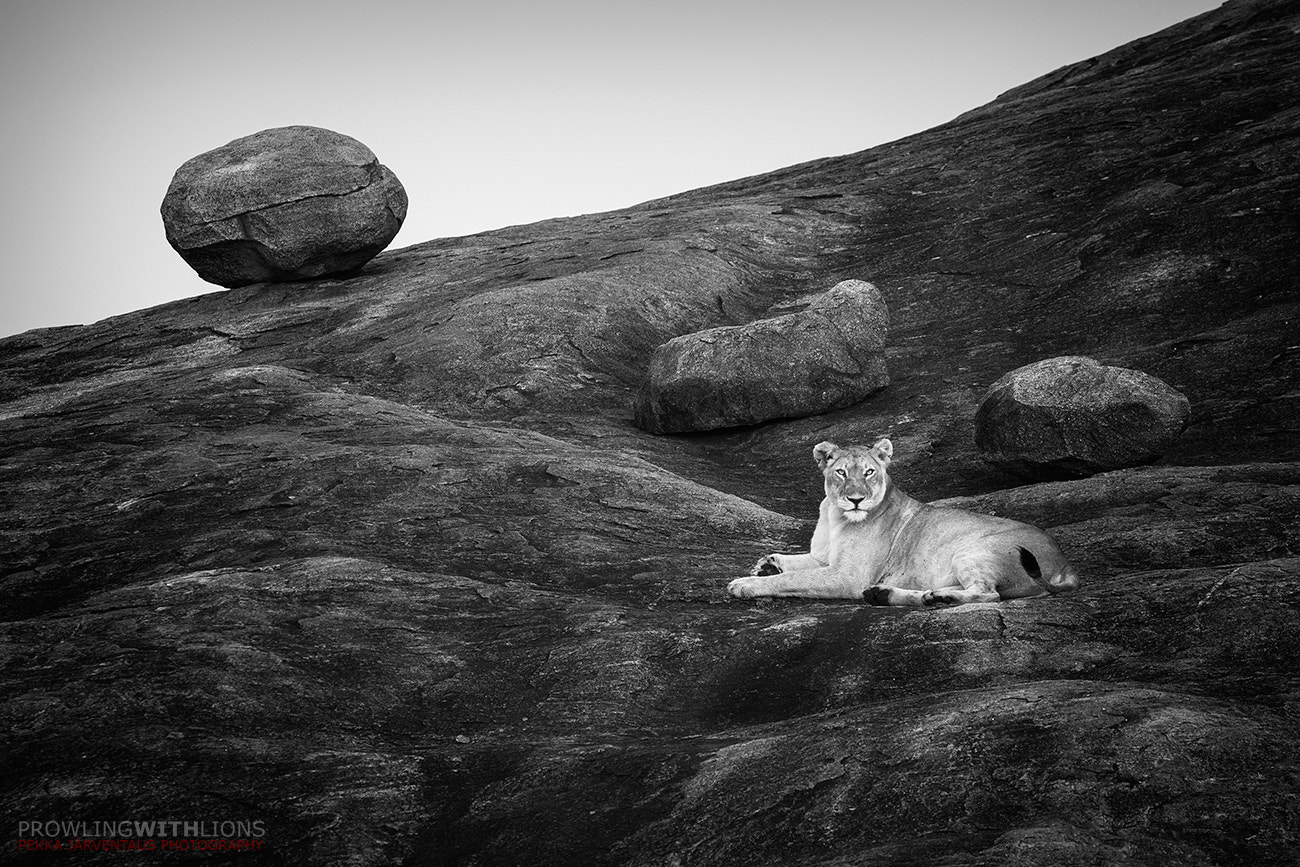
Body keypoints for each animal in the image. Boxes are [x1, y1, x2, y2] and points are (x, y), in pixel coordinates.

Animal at [727, 439, 1079, 606]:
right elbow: (798, 562)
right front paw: (767, 564)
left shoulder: (847, 576)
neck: (835, 516)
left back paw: (936, 598)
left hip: (973, 549)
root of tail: (1066, 566)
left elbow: (793, 579)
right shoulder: (824, 558)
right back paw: (899, 595)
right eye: (841, 472)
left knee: (988, 594)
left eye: (869, 472)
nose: (856, 499)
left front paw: (746, 583)